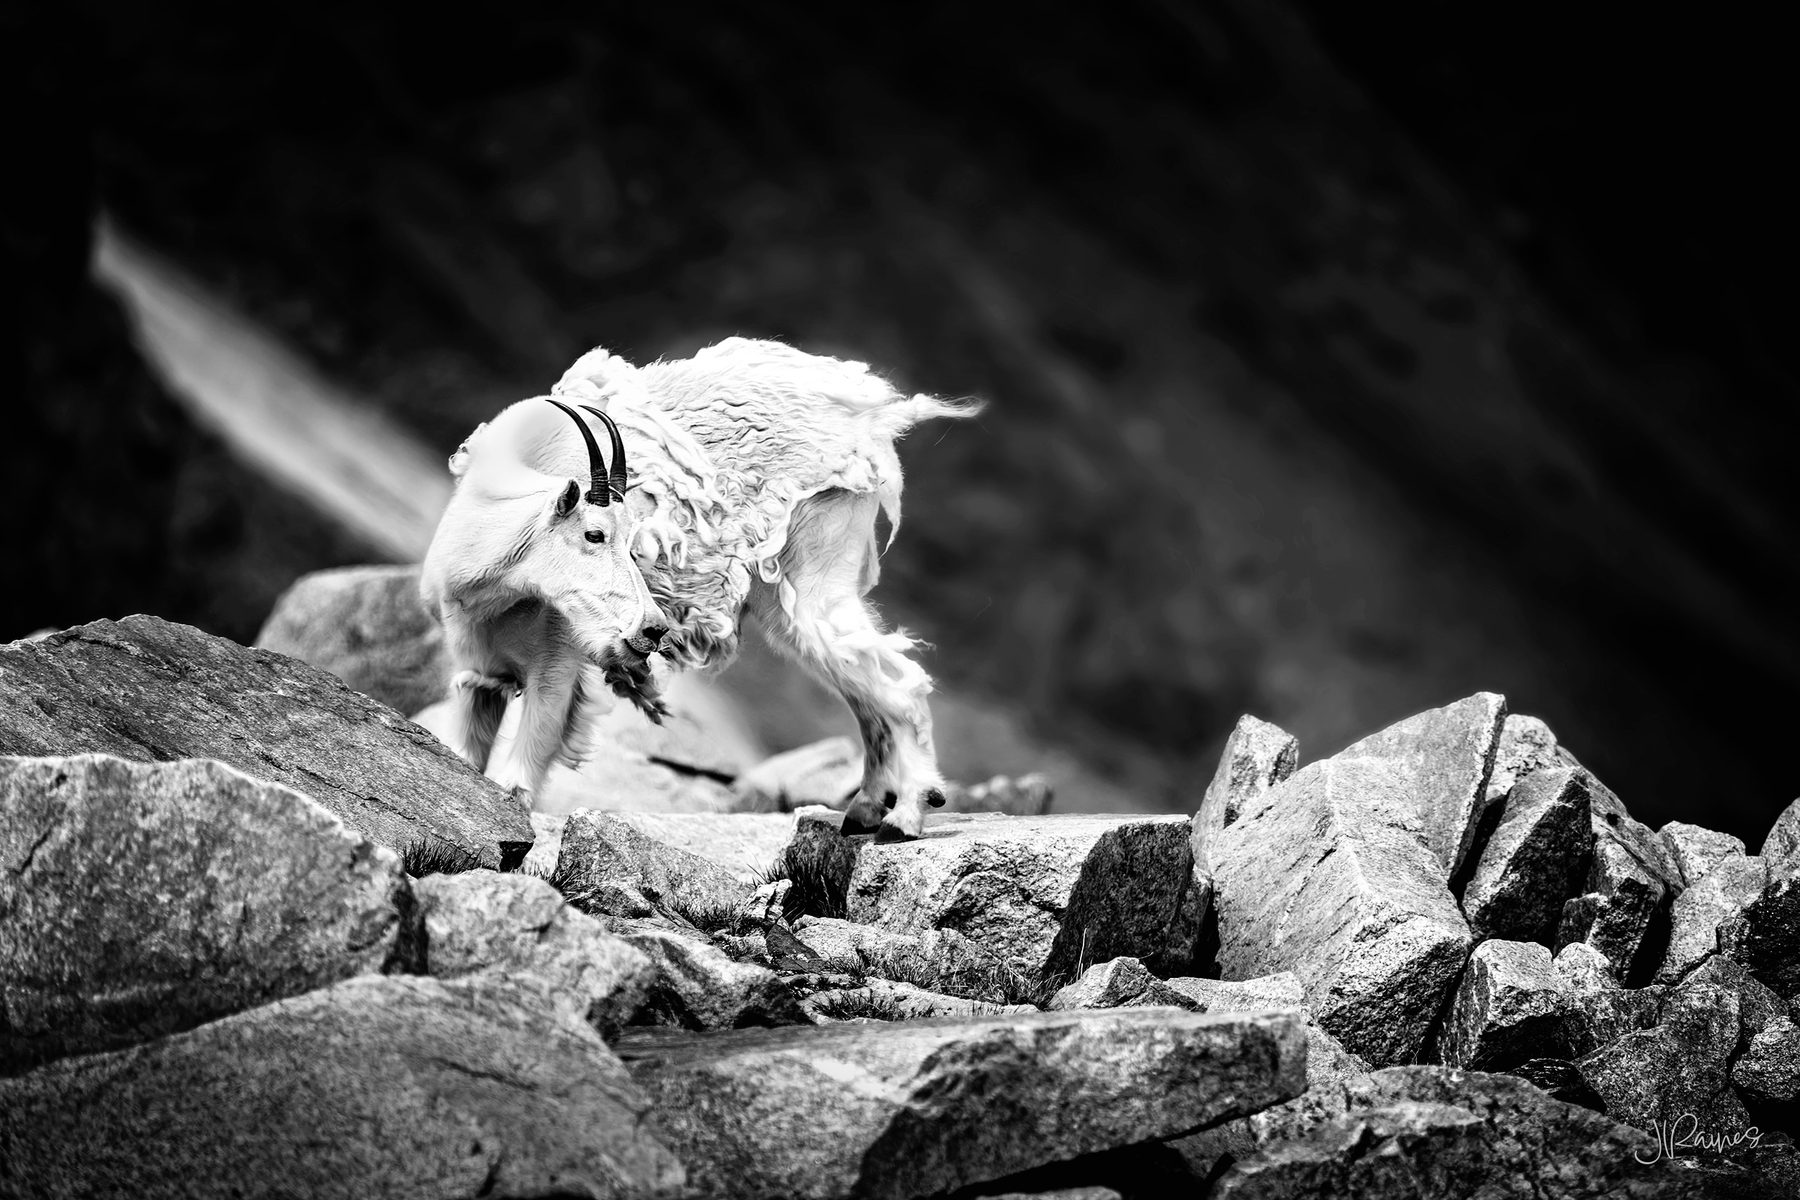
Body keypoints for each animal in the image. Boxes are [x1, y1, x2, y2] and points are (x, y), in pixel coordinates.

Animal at [419, 337, 978, 841]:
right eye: (595, 533)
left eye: (634, 539)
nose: (651, 629)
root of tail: (871, 419)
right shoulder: (479, 674)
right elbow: (467, 760)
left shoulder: (555, 668)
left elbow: (516, 781)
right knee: (861, 684)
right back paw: (864, 810)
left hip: (813, 570)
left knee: (897, 682)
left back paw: (907, 814)